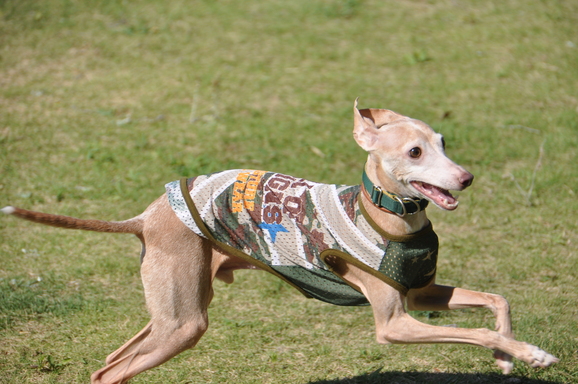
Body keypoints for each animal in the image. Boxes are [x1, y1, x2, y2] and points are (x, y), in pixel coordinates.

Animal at [2, 100, 556, 382]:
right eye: (416, 152)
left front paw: (508, 358)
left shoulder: (419, 295)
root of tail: (146, 215)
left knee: (110, 364)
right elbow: (479, 329)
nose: (465, 178)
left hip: (173, 314)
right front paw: (531, 354)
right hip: (184, 322)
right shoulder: (394, 324)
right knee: (113, 372)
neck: (387, 220)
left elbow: (496, 301)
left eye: (443, 143)